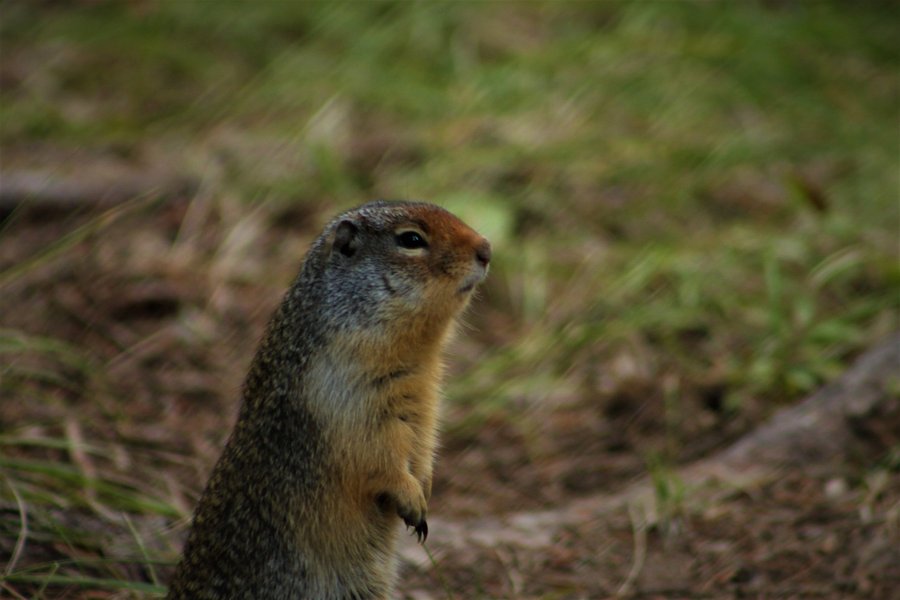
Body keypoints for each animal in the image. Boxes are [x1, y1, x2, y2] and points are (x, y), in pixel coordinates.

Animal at [166, 200, 491, 599]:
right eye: (411, 239)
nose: (486, 249)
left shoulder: (426, 404)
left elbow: (424, 446)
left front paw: (426, 487)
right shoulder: (351, 402)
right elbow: (377, 457)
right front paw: (412, 498)